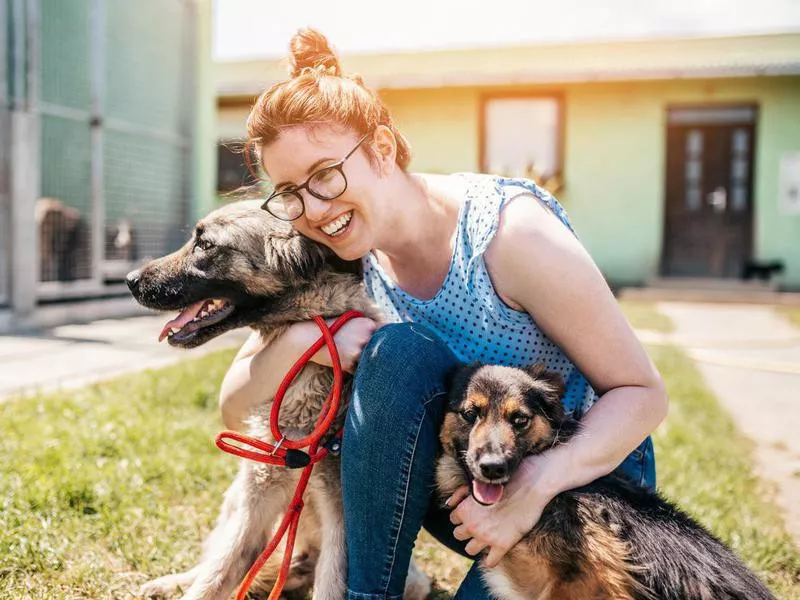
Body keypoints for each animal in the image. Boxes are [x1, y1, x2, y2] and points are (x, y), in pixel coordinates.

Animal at [125, 203, 432, 600]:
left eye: (205, 244)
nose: (129, 279)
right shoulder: (257, 497)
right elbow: (216, 575)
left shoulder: (340, 523)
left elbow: (328, 586)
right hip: (237, 497)